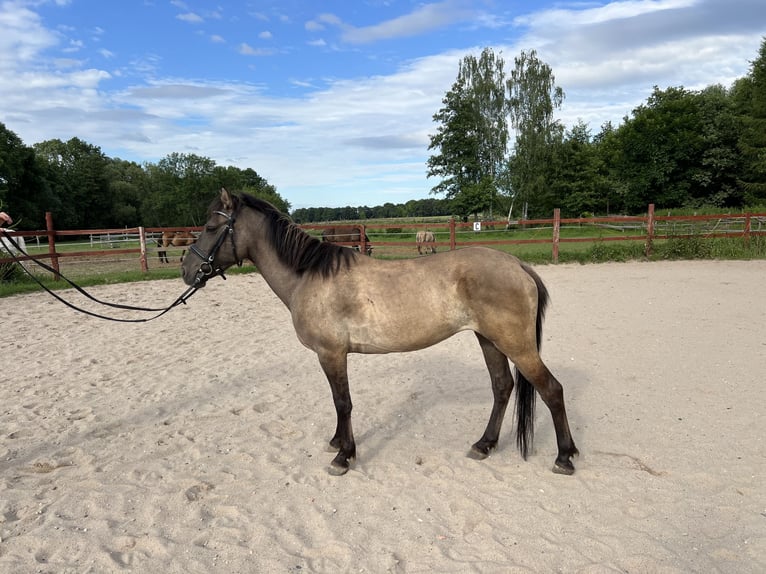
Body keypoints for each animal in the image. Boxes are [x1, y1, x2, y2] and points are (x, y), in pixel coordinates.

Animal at [180, 189, 580, 476]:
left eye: (211, 227)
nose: (187, 269)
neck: (309, 275)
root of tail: (518, 264)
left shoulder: (331, 354)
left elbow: (343, 402)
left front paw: (344, 456)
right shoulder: (331, 356)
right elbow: (339, 404)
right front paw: (337, 443)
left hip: (516, 345)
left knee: (551, 390)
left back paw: (564, 457)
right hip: (489, 340)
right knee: (502, 388)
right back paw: (484, 445)